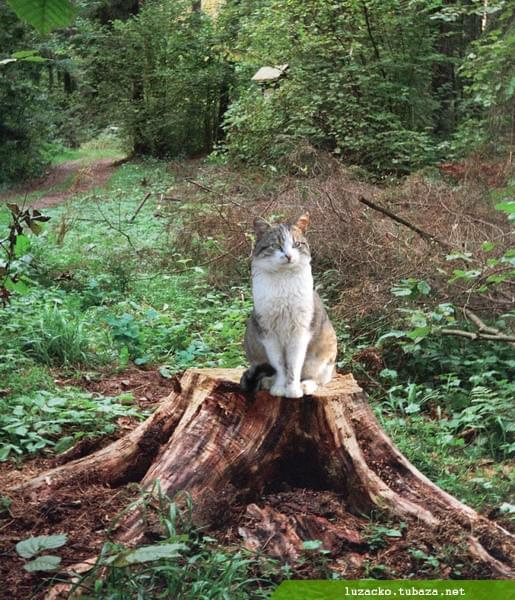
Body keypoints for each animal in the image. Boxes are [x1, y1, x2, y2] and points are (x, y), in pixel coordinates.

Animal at [241, 212, 338, 398]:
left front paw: (293, 390)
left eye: (296, 244)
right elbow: (280, 365)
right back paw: (268, 382)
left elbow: (293, 365)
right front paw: (279, 387)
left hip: (324, 354)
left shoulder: (299, 332)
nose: (288, 256)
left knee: (318, 378)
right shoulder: (268, 333)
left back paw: (306, 385)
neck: (283, 280)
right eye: (276, 245)